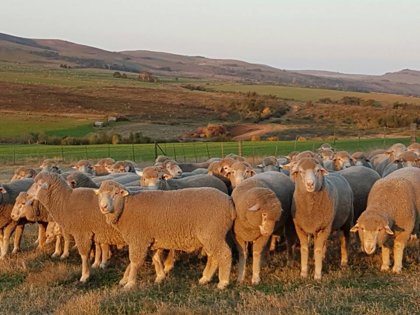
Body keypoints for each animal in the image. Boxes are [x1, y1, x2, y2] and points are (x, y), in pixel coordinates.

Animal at [94, 181, 236, 290]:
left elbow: (134, 262)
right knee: (214, 256)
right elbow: (156, 258)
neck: (126, 208)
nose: (103, 207)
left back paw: (223, 282)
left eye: (116, 193)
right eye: (99, 194)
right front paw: (160, 276)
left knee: (224, 253)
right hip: (210, 235)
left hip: (212, 233)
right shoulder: (151, 239)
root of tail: (229, 201)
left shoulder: (138, 239)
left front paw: (129, 283)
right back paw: (205, 278)